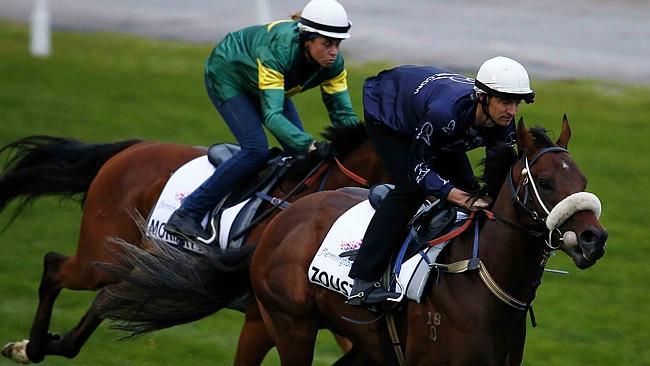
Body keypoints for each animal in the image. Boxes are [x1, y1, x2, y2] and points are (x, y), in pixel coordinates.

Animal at [0, 124, 384, 364]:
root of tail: (132, 148)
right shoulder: (263, 316)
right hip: (98, 255)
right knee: (55, 266)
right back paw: (30, 348)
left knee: (104, 298)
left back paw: (43, 344)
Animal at [249, 118, 608, 366]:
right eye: (545, 182)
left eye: (582, 181)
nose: (594, 238)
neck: (476, 279)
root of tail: (286, 213)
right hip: (289, 324)